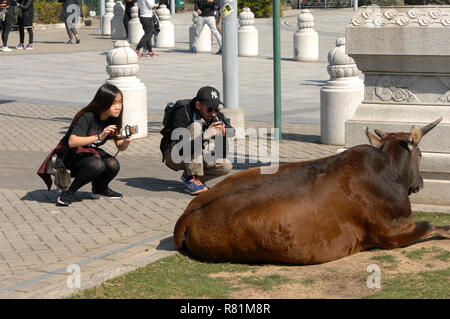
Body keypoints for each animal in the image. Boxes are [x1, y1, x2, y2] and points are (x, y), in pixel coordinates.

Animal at [174, 119, 448, 264]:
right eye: (421, 155)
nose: (420, 181)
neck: (389, 170)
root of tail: (186, 216)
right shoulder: (390, 232)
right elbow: (431, 224)